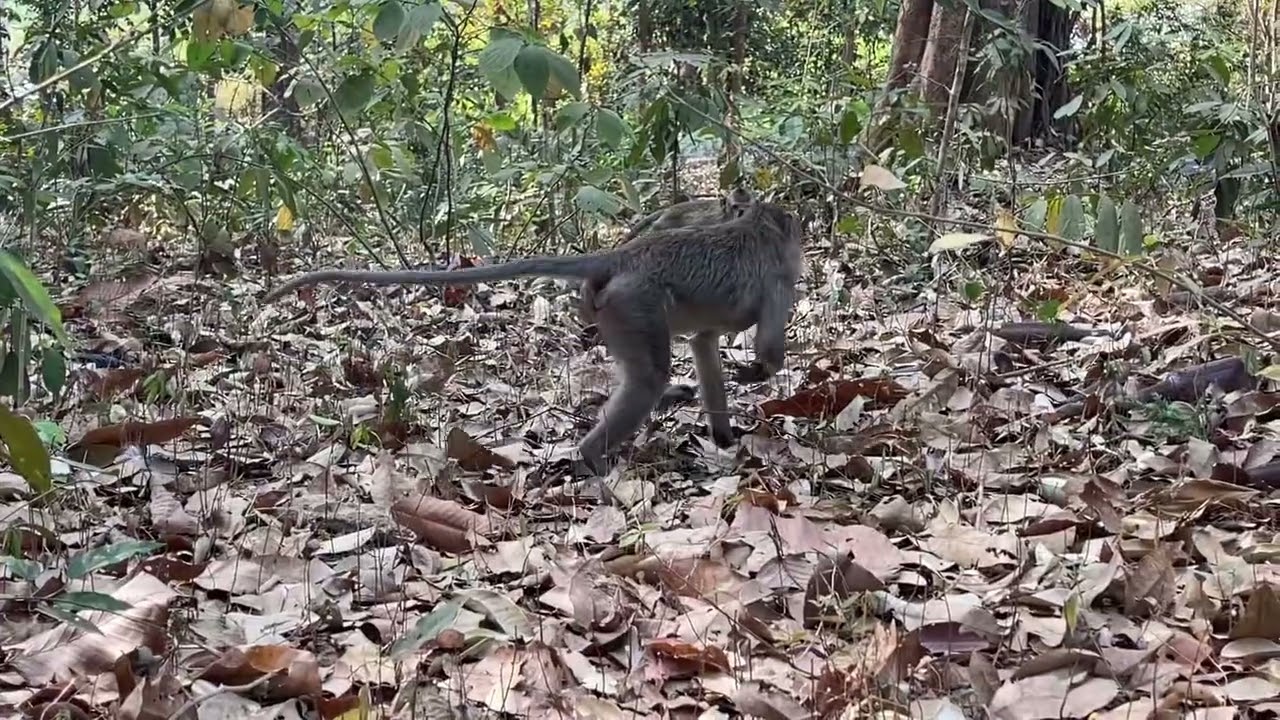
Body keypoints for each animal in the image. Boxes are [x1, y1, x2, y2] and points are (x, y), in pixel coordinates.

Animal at [263, 200, 803, 479]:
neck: (755, 227)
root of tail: (622, 256)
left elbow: (705, 344)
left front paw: (725, 437)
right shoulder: (779, 280)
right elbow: (769, 348)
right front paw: (759, 371)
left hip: (612, 307)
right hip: (636, 304)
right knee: (648, 378)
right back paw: (592, 459)